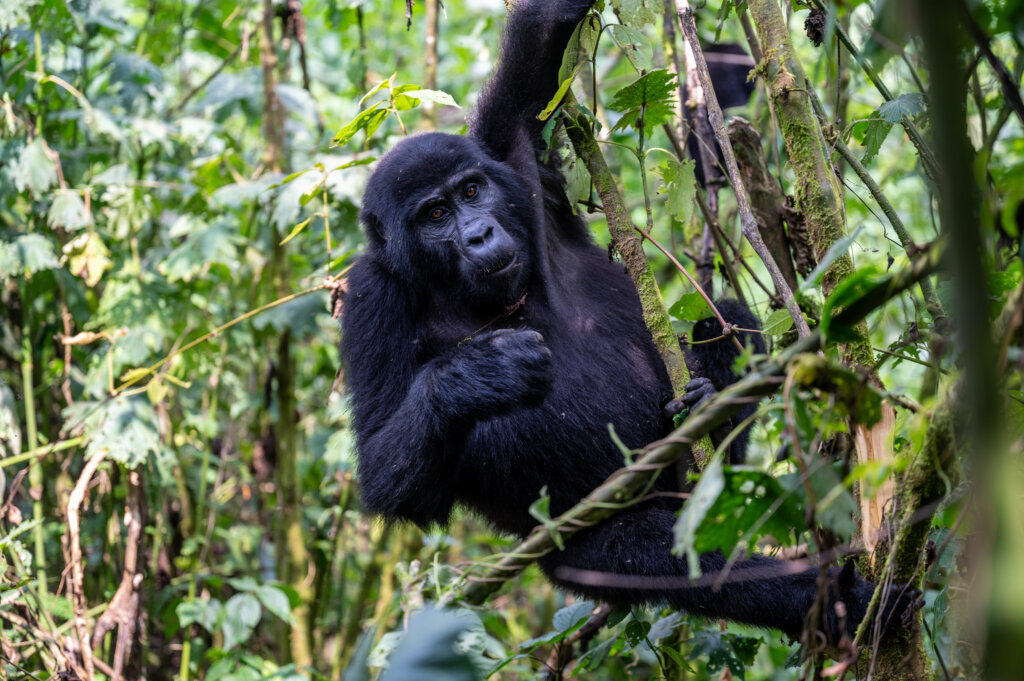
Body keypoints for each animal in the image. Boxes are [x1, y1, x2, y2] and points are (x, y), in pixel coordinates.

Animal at [339, 0, 909, 643]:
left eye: (470, 191)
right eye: (435, 214)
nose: (480, 233)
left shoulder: (509, 156)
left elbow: (542, 44)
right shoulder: (370, 297)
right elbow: (388, 472)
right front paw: (481, 372)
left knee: (724, 327)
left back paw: (714, 410)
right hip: (584, 558)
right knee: (680, 560)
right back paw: (835, 599)